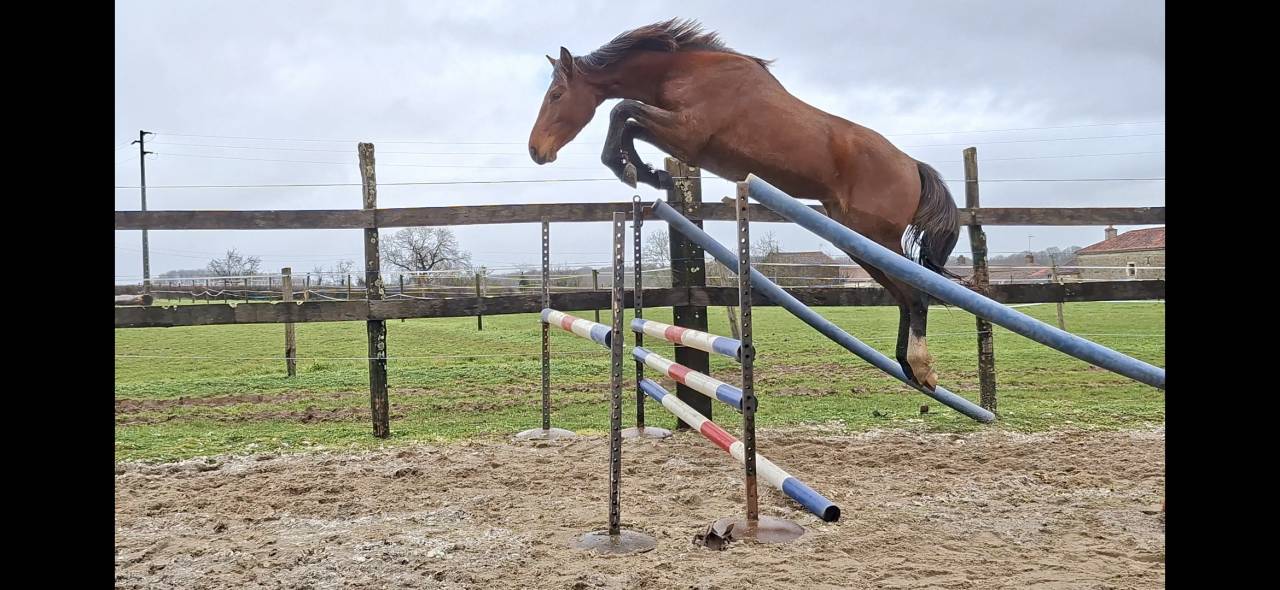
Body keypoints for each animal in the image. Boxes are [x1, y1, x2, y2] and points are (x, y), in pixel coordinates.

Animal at [527, 19, 960, 390]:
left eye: (557, 95)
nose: (535, 151)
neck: (682, 71)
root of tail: (912, 165)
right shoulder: (678, 136)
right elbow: (627, 122)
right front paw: (651, 174)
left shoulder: (687, 134)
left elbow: (623, 112)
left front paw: (637, 170)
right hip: (857, 242)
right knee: (904, 297)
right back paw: (908, 367)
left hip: (876, 238)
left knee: (917, 295)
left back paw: (921, 367)